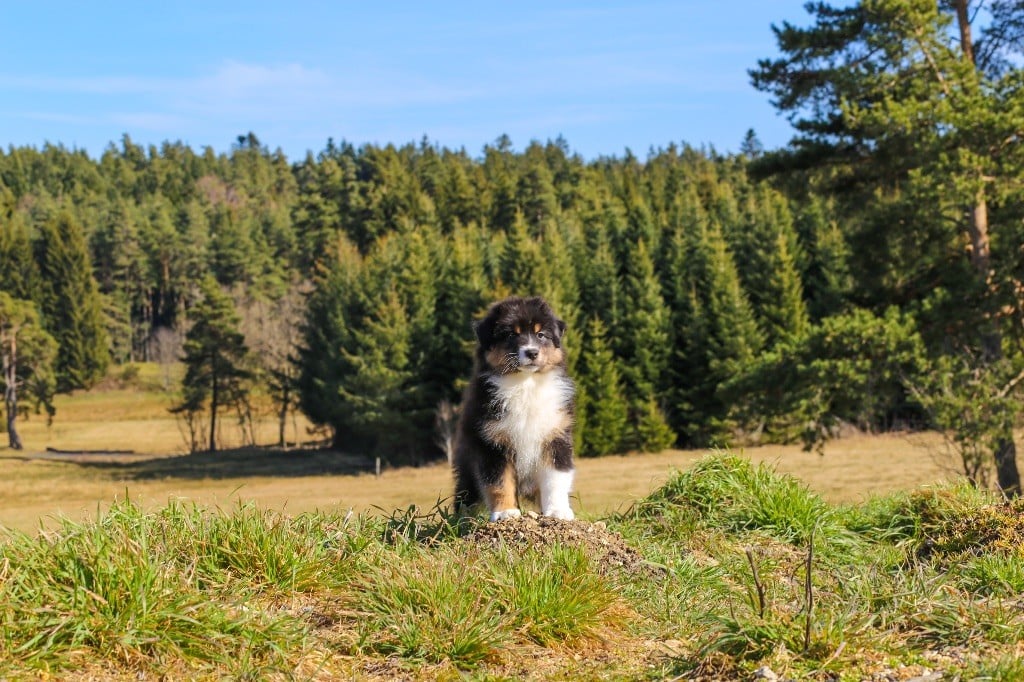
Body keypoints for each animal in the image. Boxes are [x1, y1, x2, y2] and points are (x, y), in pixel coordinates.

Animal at [454, 292, 577, 520]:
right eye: (511, 334)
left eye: (541, 335)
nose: (532, 353)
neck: (525, 384)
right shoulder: (492, 442)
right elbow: (499, 482)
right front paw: (505, 512)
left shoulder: (556, 436)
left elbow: (555, 479)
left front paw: (558, 511)